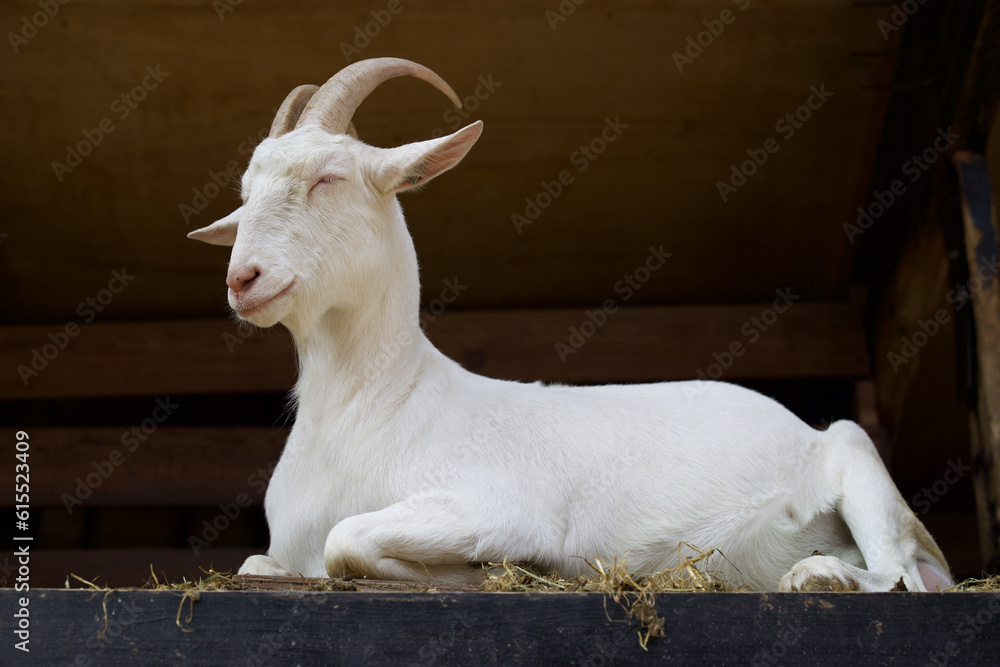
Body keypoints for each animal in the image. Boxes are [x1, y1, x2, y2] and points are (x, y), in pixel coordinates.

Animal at [189, 57, 952, 592]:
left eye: (330, 178)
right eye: (245, 196)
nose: (242, 278)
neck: (376, 409)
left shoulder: (500, 505)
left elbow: (344, 541)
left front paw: (502, 570)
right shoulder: (278, 550)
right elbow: (259, 563)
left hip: (855, 452)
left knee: (907, 577)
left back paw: (819, 573)